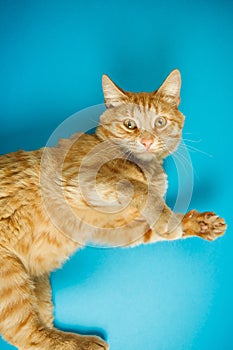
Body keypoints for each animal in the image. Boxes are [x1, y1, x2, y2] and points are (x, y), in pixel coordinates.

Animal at [0, 69, 226, 348]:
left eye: (160, 122)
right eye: (130, 125)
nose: (147, 140)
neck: (147, 167)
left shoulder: (116, 229)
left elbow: (153, 222)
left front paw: (199, 223)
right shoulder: (78, 180)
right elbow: (136, 187)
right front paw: (166, 217)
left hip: (41, 292)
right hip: (9, 281)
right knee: (26, 333)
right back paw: (84, 343)